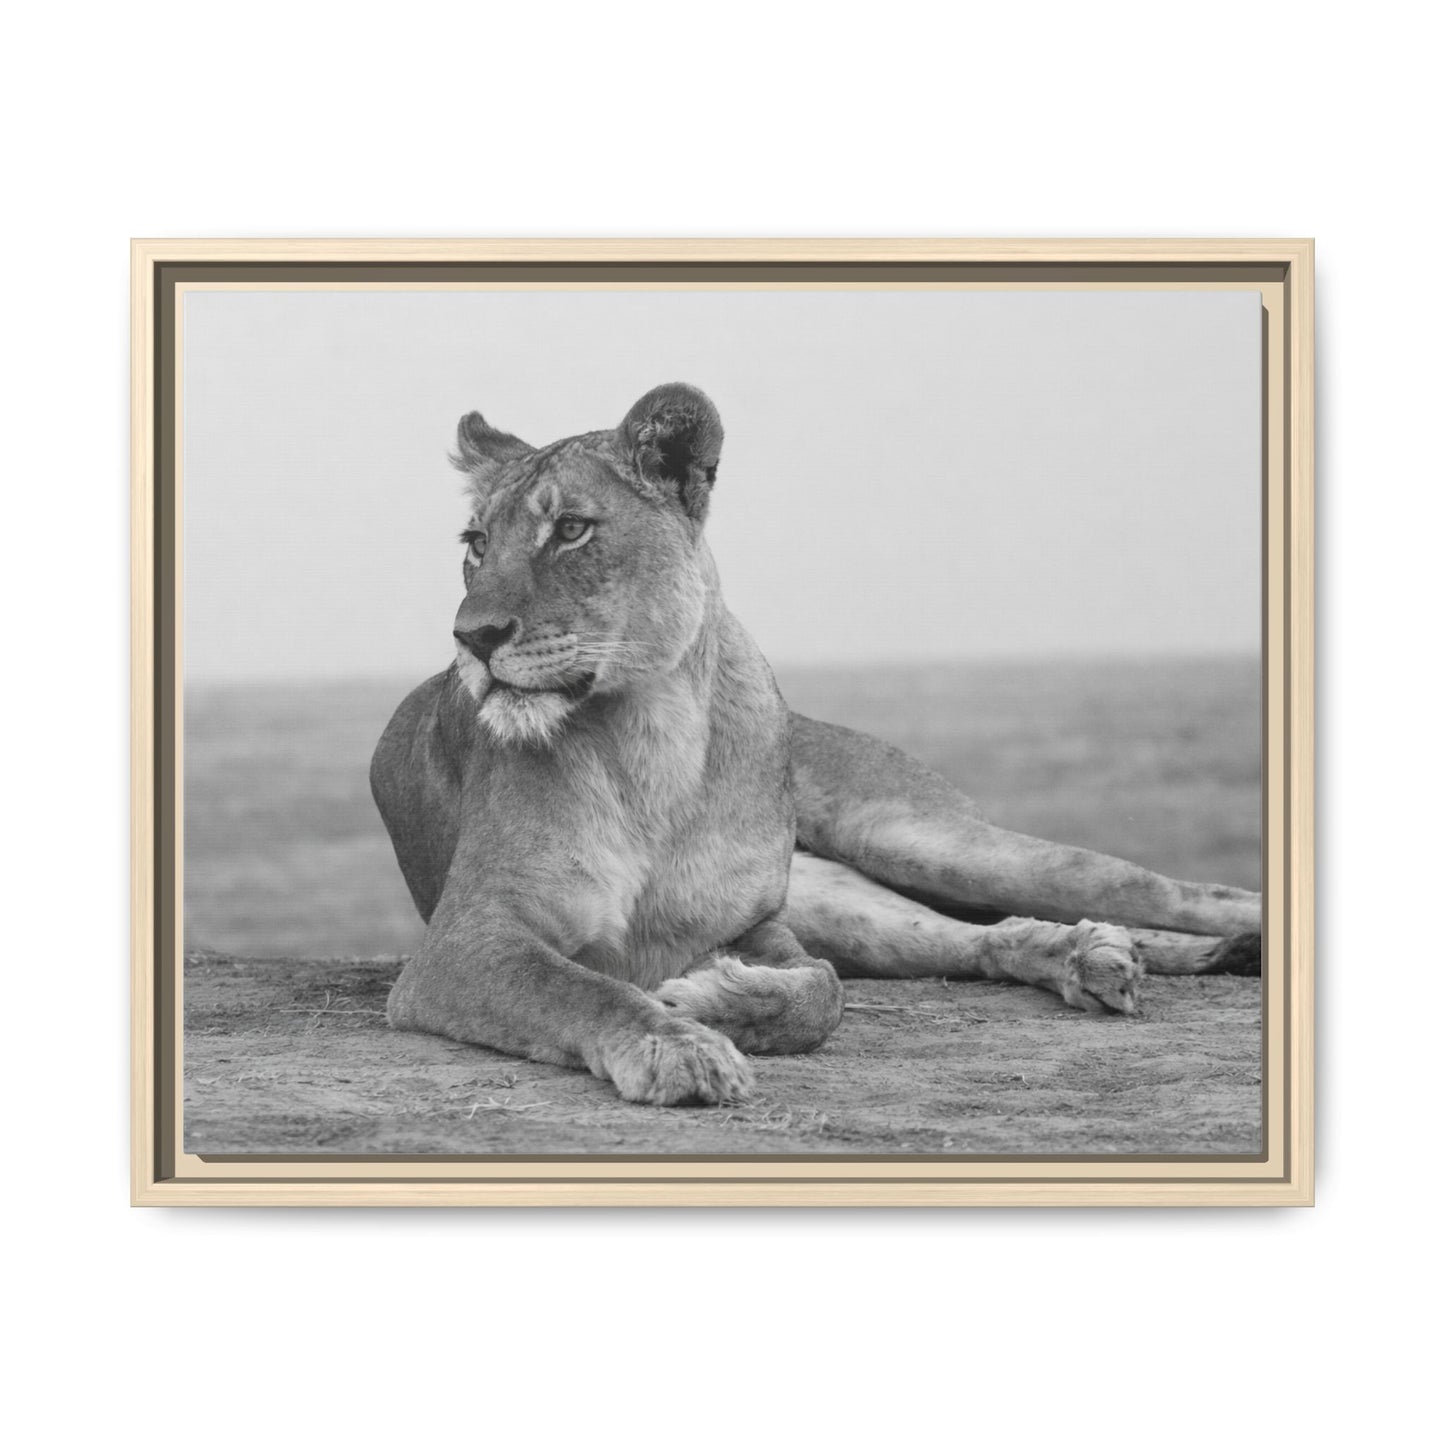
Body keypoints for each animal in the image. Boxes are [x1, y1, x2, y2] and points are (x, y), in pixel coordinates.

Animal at [371, 383, 1262, 1106]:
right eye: (476, 543)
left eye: (570, 530)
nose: (472, 637)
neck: (650, 740)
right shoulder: (465, 941)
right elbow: (583, 988)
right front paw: (677, 1045)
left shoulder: (759, 924)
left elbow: (820, 994)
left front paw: (705, 1000)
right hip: (847, 897)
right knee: (978, 937)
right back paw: (1091, 955)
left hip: (913, 837)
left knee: (1174, 890)